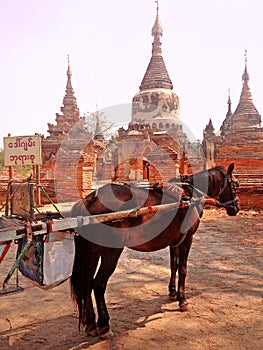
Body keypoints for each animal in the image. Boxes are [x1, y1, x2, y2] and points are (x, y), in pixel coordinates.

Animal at [70, 163, 241, 338]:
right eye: (235, 185)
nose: (236, 207)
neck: (190, 195)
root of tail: (90, 200)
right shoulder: (187, 240)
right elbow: (183, 269)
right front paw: (182, 300)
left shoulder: (175, 242)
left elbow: (174, 266)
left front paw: (172, 293)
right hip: (111, 252)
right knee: (98, 284)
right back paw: (104, 325)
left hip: (92, 250)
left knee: (86, 282)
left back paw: (91, 324)